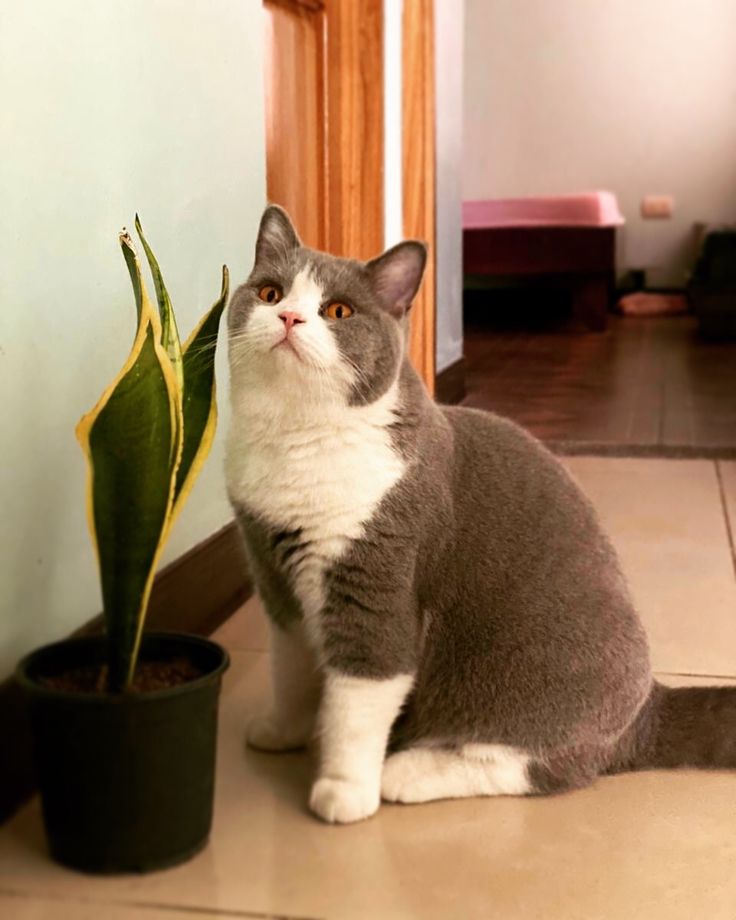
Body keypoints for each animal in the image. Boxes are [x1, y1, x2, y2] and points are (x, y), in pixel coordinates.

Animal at [224, 205, 736, 824]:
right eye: (270, 292)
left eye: (338, 311)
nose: (290, 316)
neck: (294, 440)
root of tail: (647, 710)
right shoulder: (274, 577)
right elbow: (291, 669)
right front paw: (282, 732)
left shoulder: (378, 583)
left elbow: (358, 699)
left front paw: (344, 791)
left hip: (529, 682)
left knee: (541, 766)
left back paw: (407, 772)